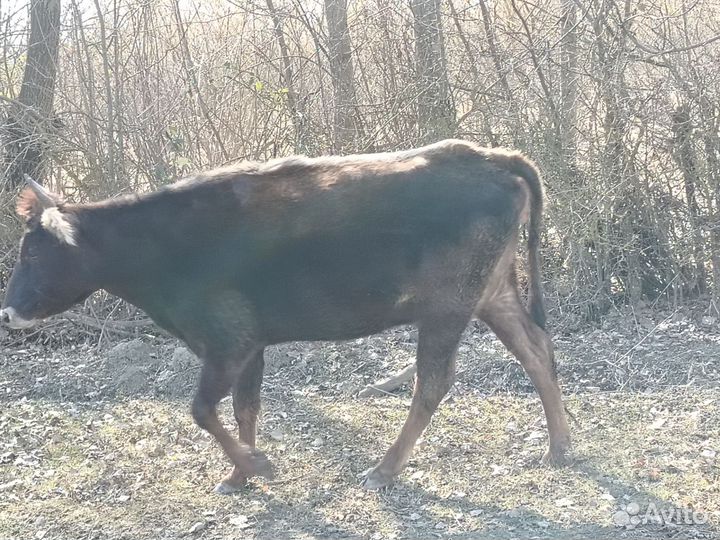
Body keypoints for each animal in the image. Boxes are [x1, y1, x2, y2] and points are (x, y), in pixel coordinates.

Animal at [2, 140, 572, 494]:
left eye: (32, 253)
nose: (7, 314)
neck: (158, 249)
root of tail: (493, 155)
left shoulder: (227, 340)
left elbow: (203, 410)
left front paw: (257, 465)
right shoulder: (250, 345)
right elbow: (244, 408)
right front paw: (238, 476)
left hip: (447, 306)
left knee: (434, 383)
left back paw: (384, 470)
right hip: (493, 293)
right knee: (536, 349)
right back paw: (560, 446)